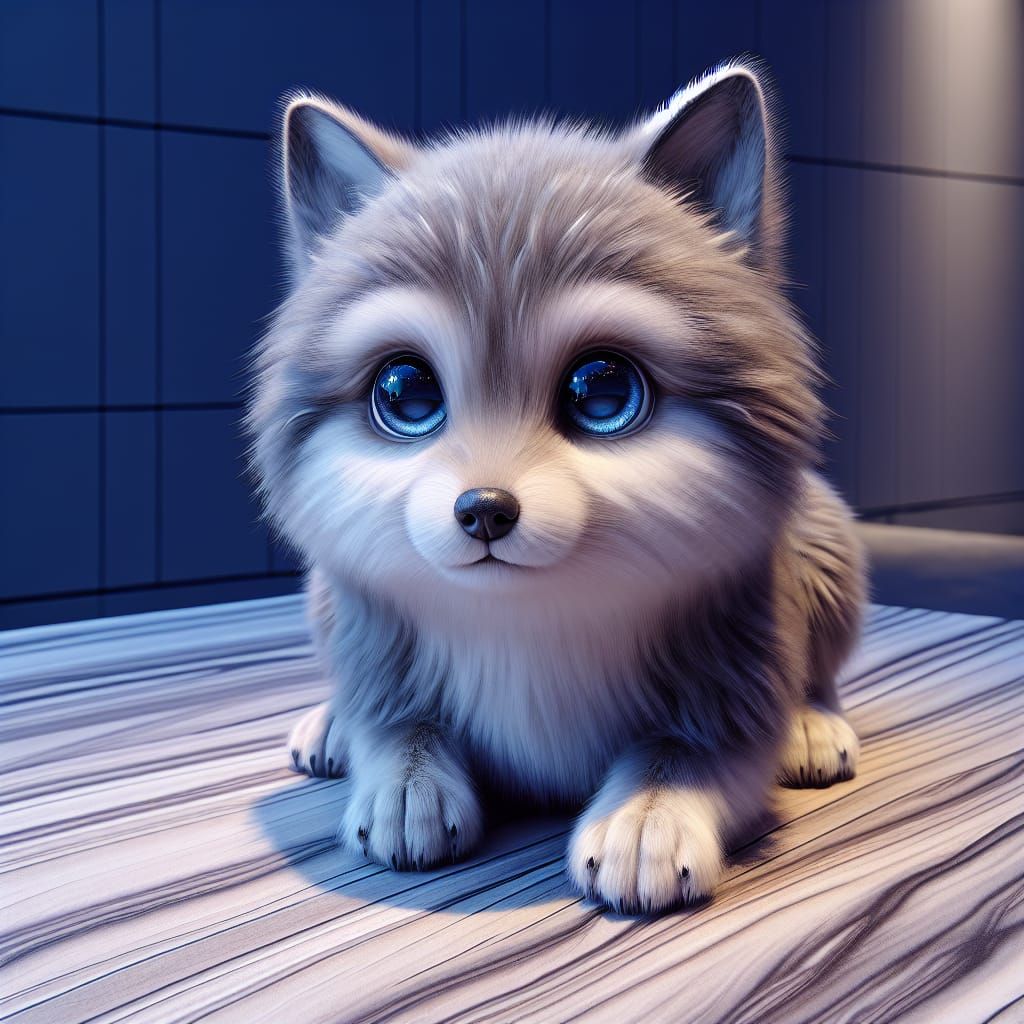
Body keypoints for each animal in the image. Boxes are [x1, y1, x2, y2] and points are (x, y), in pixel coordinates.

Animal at [248, 58, 865, 914]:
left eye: (602, 391)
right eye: (405, 392)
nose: (484, 510)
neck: (531, 627)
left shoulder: (740, 655)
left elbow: (697, 749)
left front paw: (648, 815)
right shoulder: (375, 630)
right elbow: (396, 722)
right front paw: (403, 778)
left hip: (825, 534)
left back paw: (814, 724)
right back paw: (331, 723)